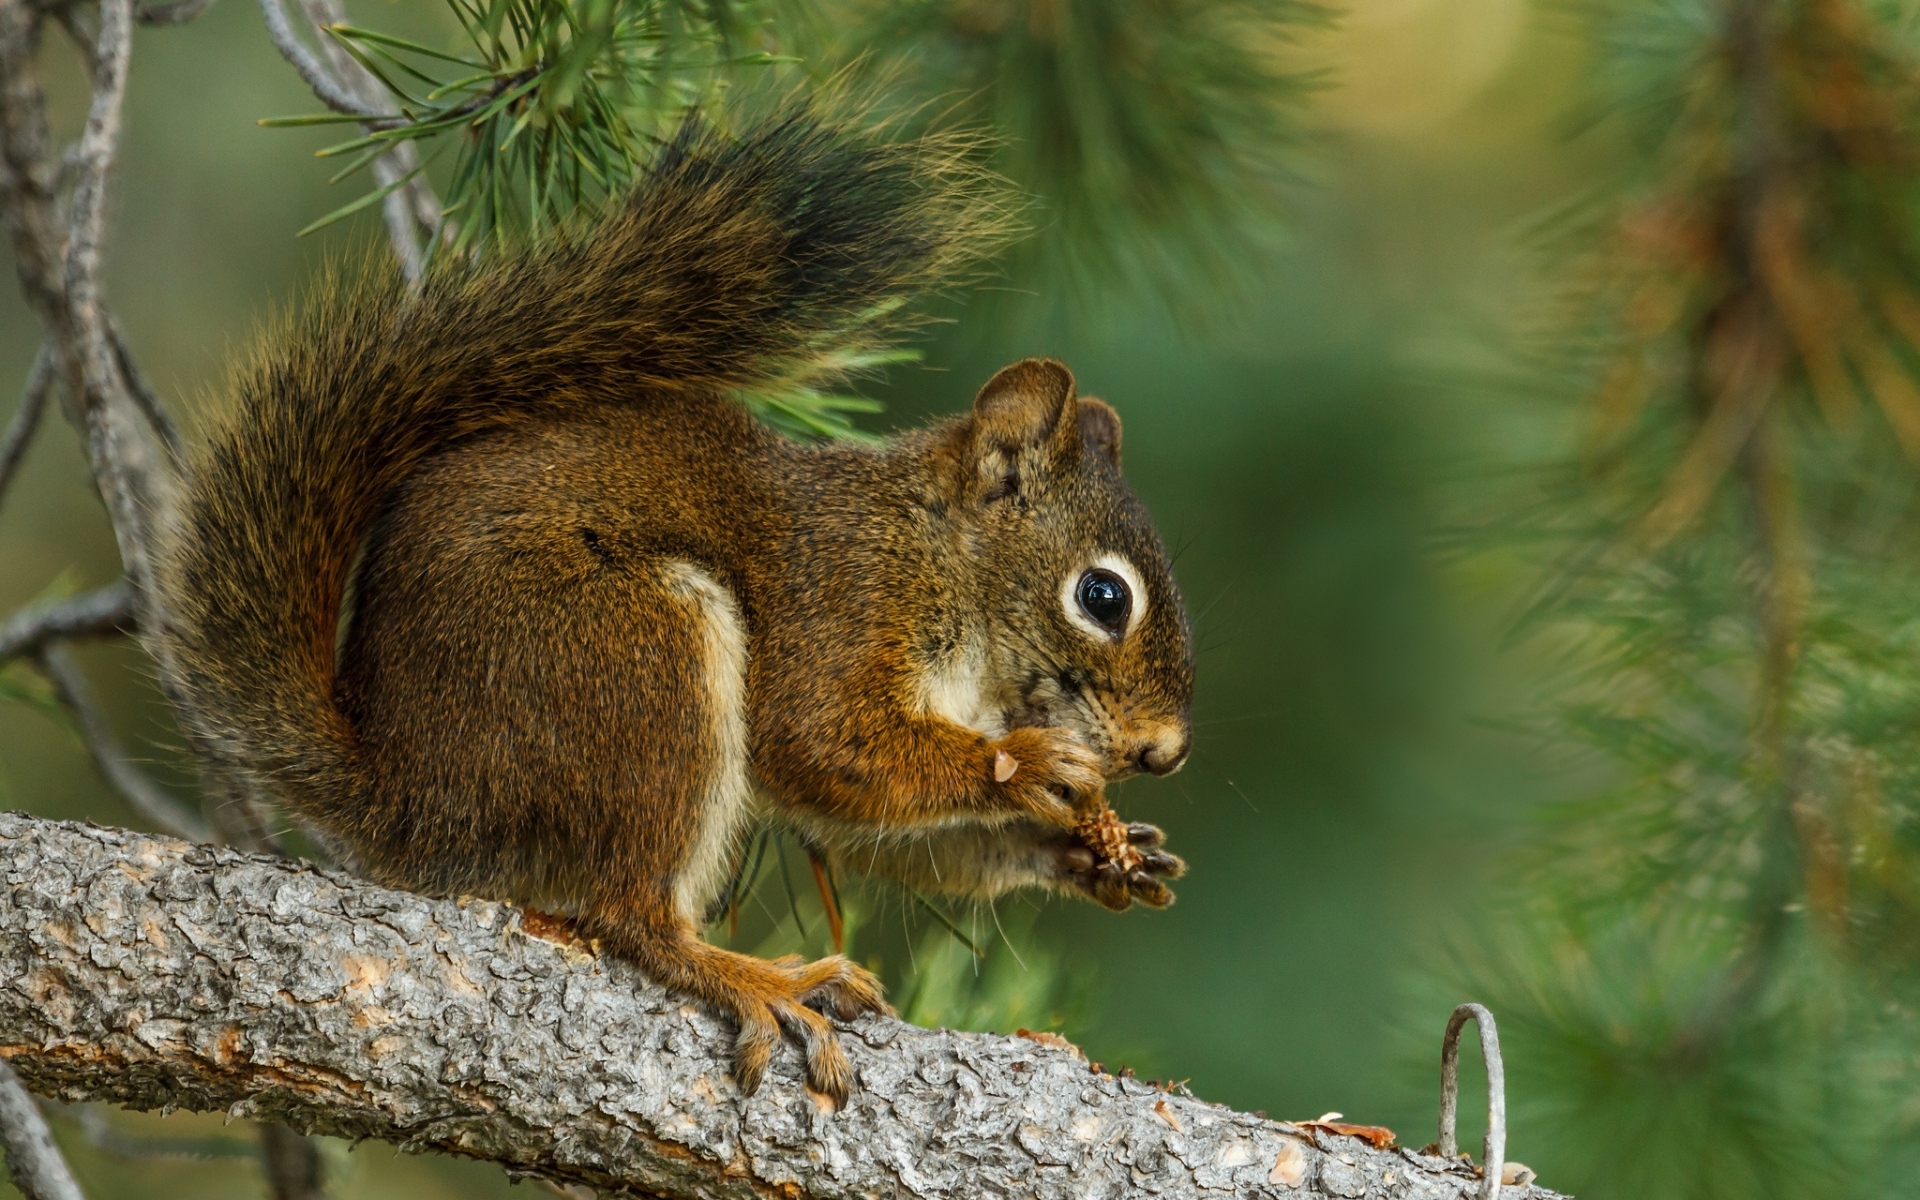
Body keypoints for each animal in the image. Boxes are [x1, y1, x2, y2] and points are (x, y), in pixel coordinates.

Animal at [150, 109, 1194, 1104]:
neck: (946, 568)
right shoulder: (843, 601)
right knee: (630, 914)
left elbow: (886, 831)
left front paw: (1097, 853)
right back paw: (763, 981)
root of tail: (410, 792)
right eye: (1103, 595)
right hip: (635, 659)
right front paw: (1030, 764)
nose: (1165, 753)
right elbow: (823, 744)